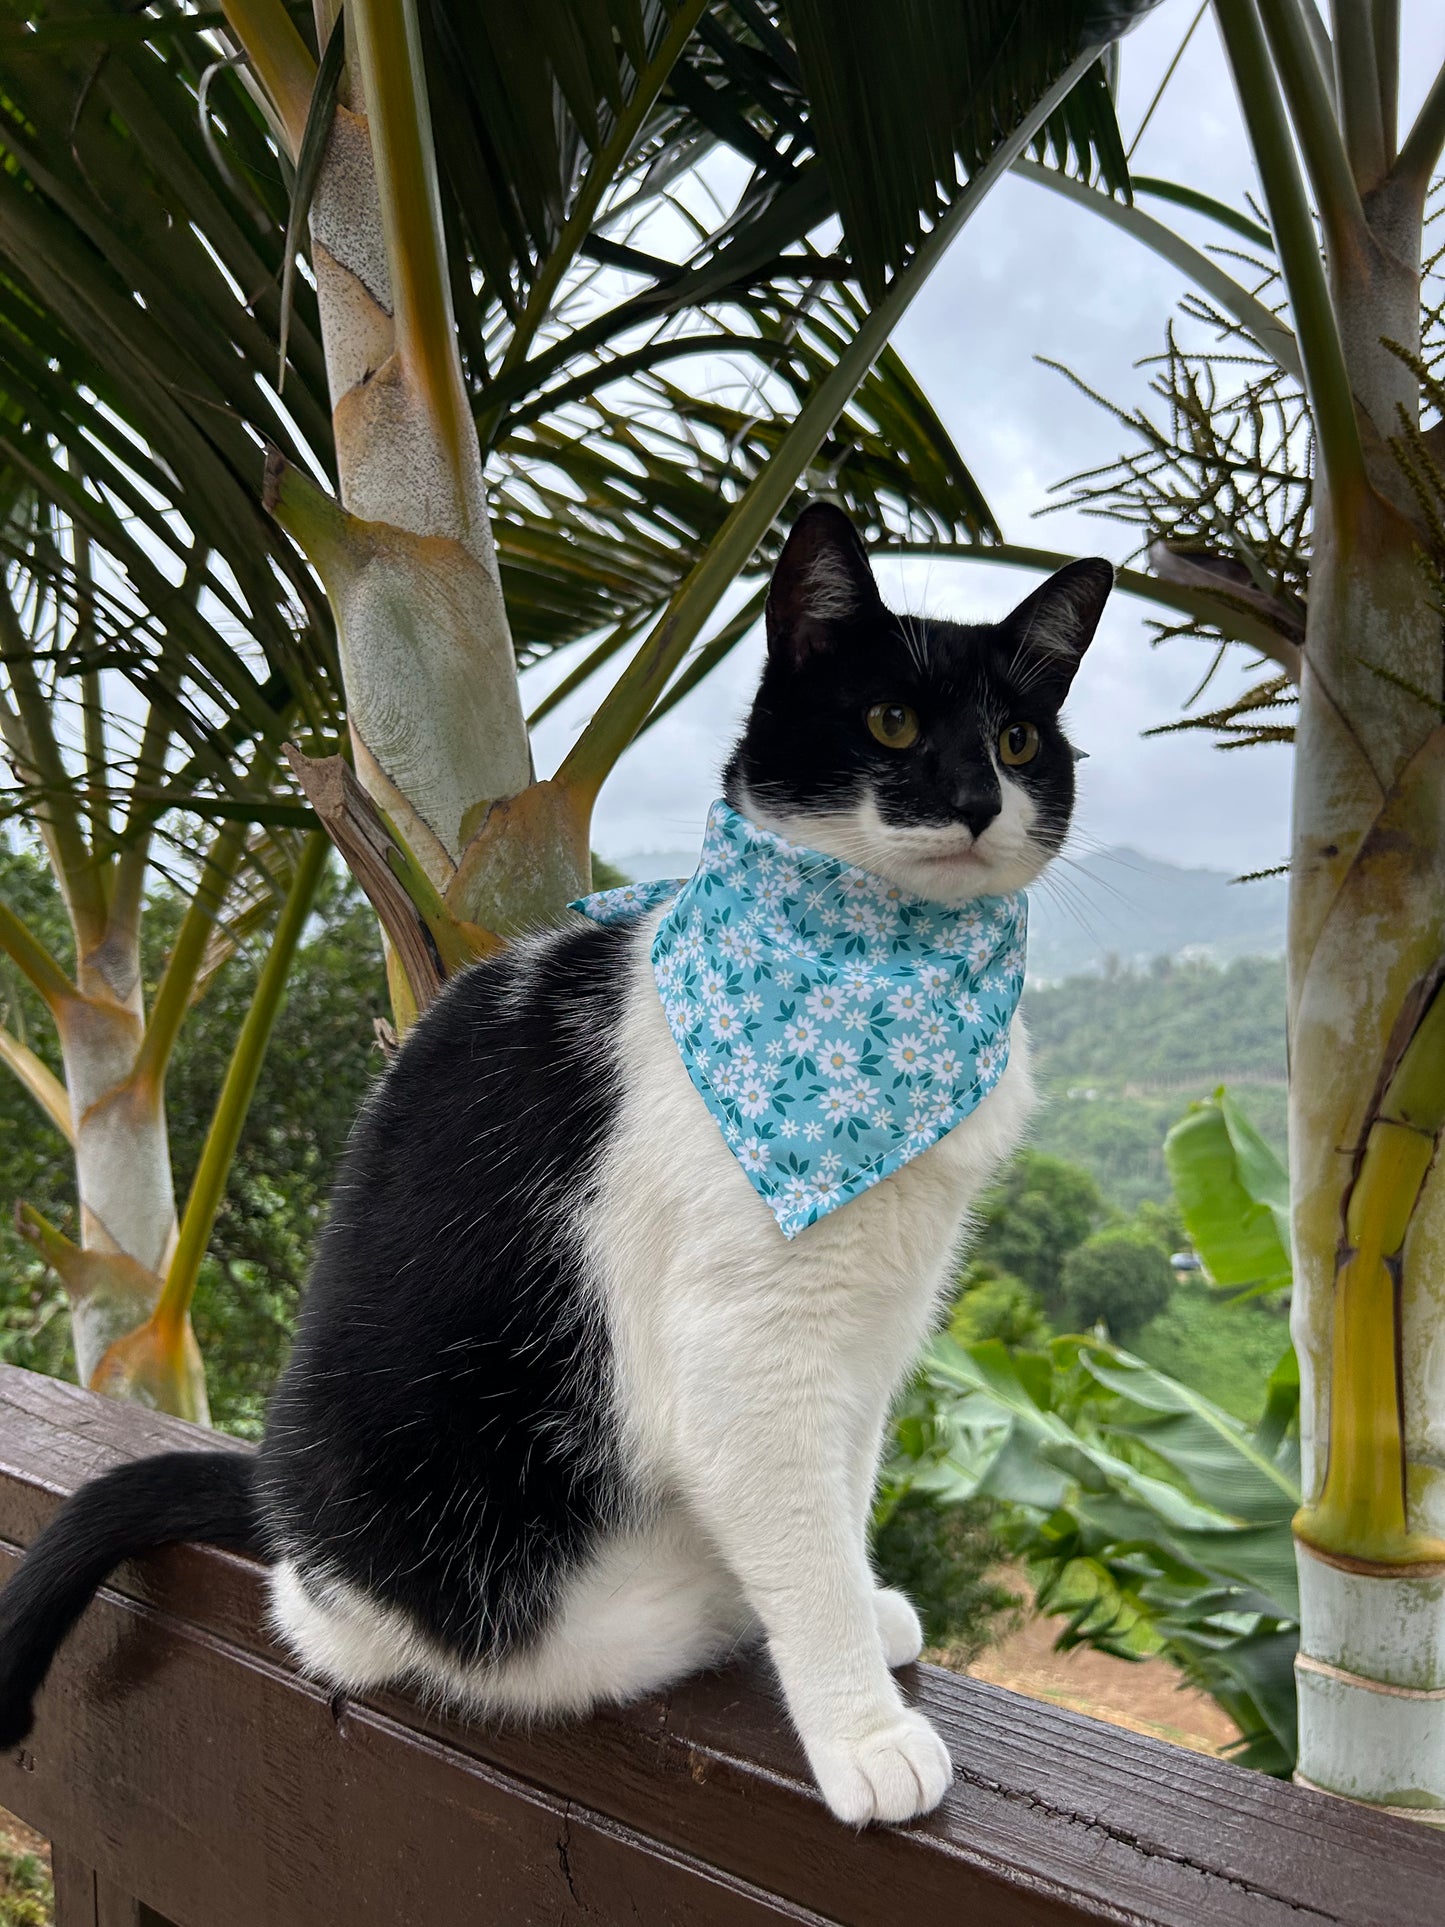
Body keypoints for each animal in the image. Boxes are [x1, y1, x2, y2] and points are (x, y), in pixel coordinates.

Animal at [0, 504, 1117, 1826]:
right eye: (890, 721)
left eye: (1014, 738)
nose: (973, 798)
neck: (868, 979)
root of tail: (290, 1516)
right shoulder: (743, 1350)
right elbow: (796, 1532)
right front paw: (859, 1725)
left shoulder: (869, 1330)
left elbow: (839, 1490)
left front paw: (865, 1605)